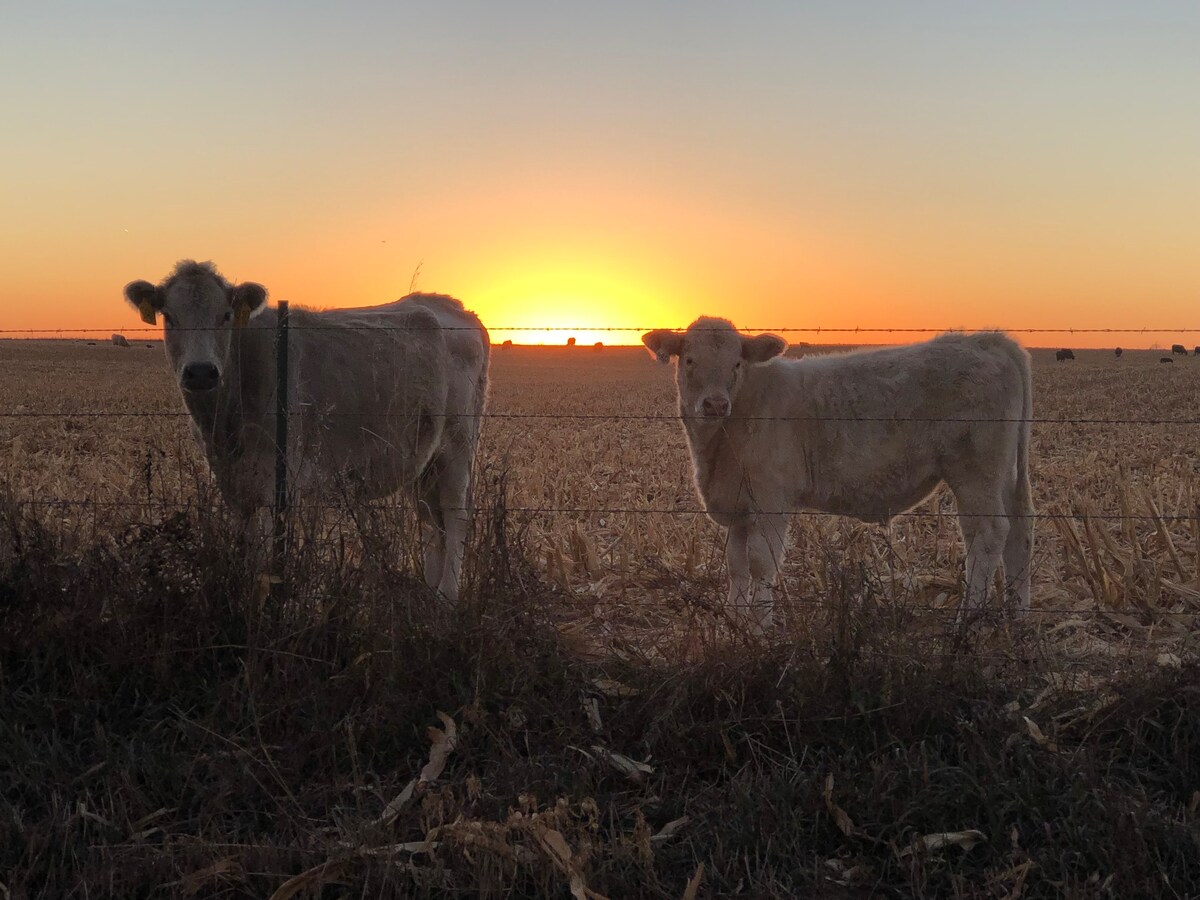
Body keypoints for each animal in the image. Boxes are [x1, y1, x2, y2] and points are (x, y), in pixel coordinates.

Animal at [124, 259, 489, 607]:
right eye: (169, 316)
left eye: (225, 315)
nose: (200, 372)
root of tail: (452, 305)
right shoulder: (234, 486)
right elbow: (249, 552)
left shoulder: (281, 483)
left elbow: (268, 559)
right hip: (424, 459)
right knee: (430, 520)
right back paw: (430, 590)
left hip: (458, 444)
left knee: (455, 515)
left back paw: (446, 597)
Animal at [648, 321, 1032, 628]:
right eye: (689, 360)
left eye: (736, 363)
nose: (715, 404)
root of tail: (986, 340)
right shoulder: (739, 505)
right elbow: (736, 565)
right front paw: (734, 621)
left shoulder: (770, 500)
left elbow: (761, 563)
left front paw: (759, 628)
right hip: (1006, 474)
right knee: (1020, 531)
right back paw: (1017, 614)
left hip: (975, 470)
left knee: (988, 534)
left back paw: (967, 620)